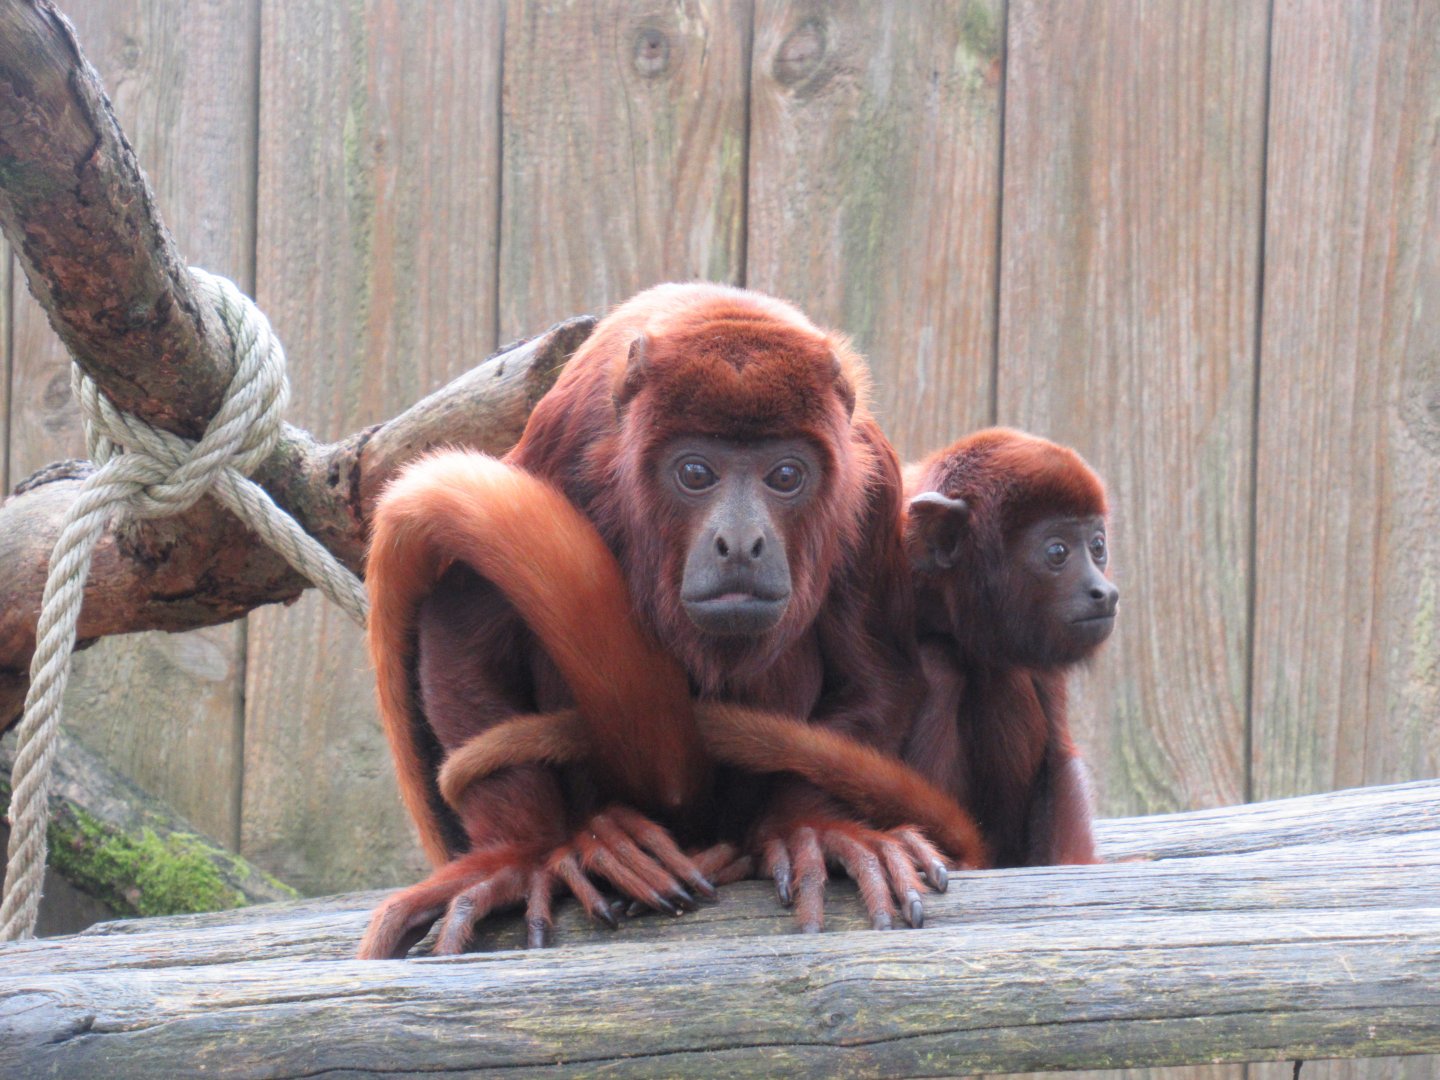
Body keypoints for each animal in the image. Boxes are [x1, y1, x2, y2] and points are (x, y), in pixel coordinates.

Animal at [359, 283, 965, 958]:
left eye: (786, 475)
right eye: (695, 473)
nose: (740, 542)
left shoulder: (873, 480)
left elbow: (875, 675)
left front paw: (813, 826)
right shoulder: (566, 447)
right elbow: (464, 625)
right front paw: (520, 853)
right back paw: (607, 838)